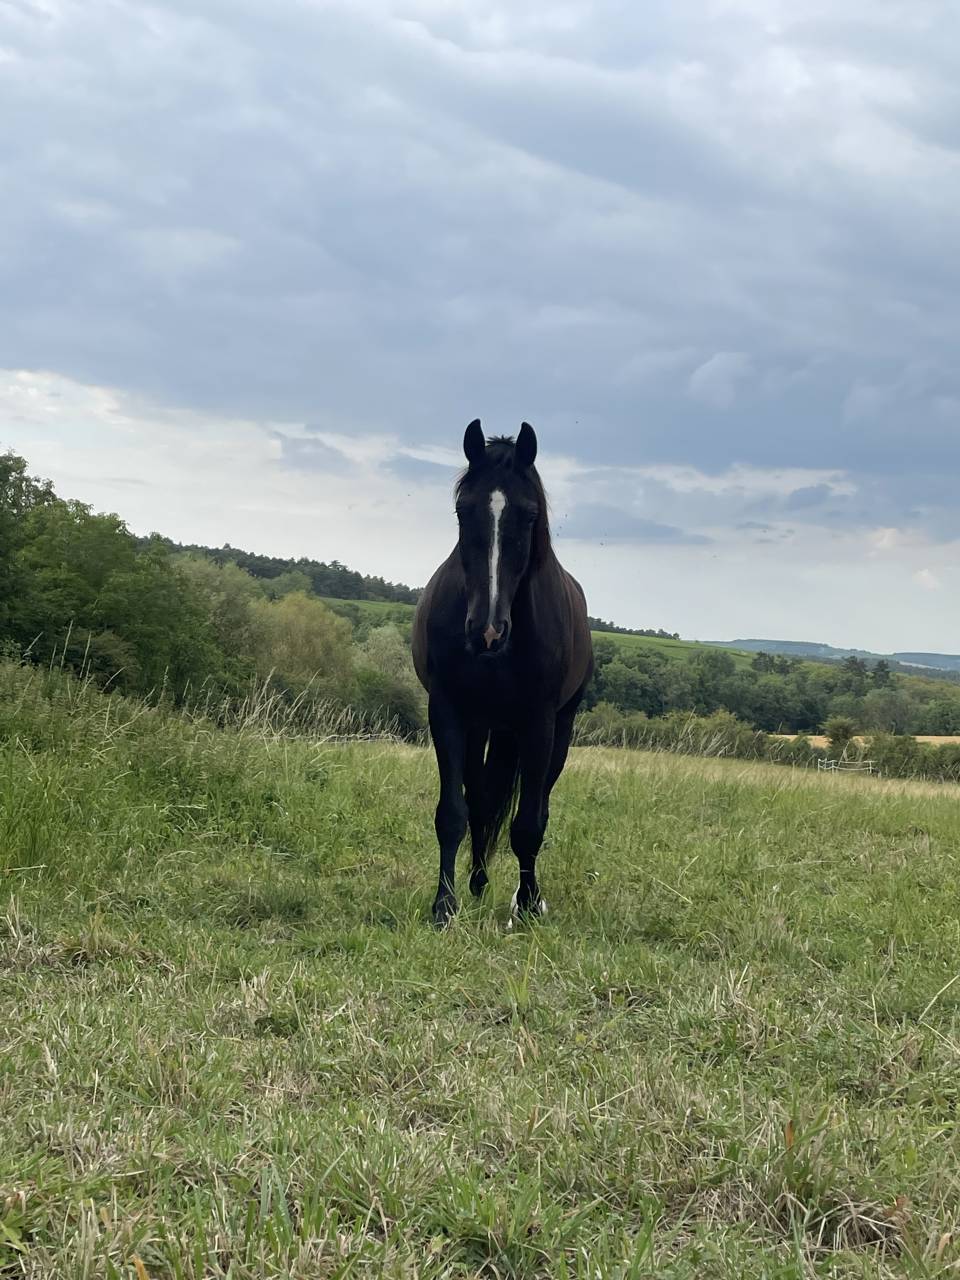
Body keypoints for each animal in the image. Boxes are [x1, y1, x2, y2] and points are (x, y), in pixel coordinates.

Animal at [412, 419, 594, 927]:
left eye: (530, 515)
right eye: (462, 510)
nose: (487, 631)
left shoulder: (539, 723)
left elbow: (529, 823)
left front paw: (528, 904)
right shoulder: (448, 713)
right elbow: (453, 813)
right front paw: (444, 906)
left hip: (555, 732)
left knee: (538, 805)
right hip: (481, 727)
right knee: (478, 802)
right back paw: (476, 882)